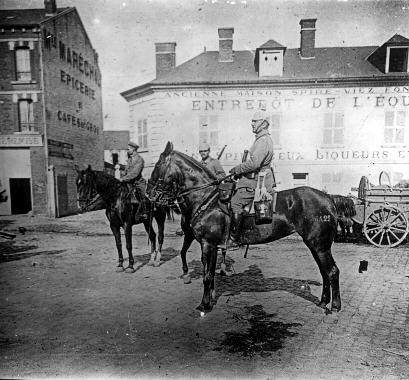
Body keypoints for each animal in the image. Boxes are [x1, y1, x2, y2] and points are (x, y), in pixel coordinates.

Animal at [148, 141, 340, 314]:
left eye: (157, 165)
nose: (149, 195)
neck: (206, 199)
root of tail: (328, 197)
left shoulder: (208, 244)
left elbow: (207, 275)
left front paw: (204, 305)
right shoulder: (213, 246)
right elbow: (210, 273)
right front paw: (210, 300)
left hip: (320, 246)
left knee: (332, 271)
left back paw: (335, 306)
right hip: (314, 245)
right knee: (324, 272)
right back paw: (323, 301)